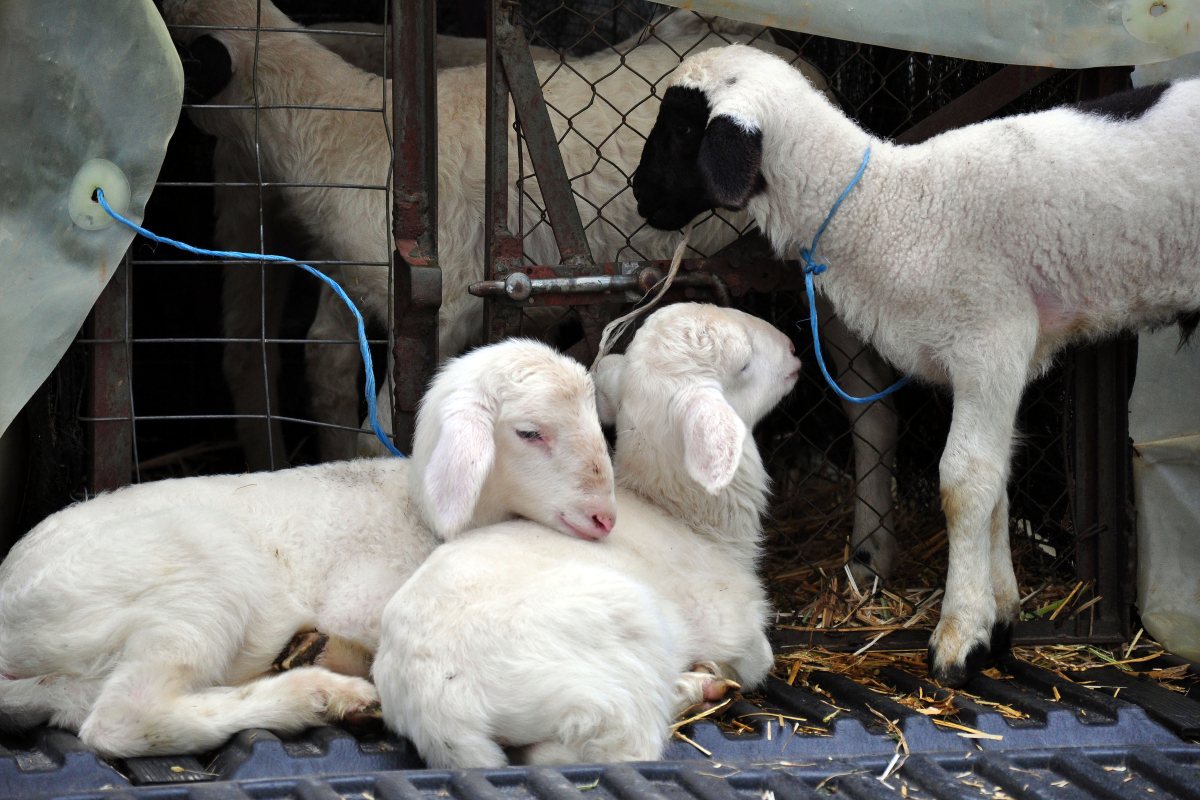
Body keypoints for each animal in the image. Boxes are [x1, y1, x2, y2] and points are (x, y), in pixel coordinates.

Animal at [0, 338, 619, 758]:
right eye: (530, 433)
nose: (604, 518)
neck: (414, 513)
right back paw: (318, 694)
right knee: (122, 720)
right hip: (199, 578)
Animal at [374, 303, 801, 767]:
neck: (690, 519)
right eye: (744, 365)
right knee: (612, 748)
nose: (794, 349)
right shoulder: (734, 625)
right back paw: (696, 687)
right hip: (612, 672)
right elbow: (762, 659)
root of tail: (439, 709)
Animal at [628, 42, 1200, 690]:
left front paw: (961, 636)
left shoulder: (990, 339)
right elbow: (997, 483)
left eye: (682, 127)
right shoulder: (1001, 356)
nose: (638, 192)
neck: (892, 209)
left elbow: (965, 481)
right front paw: (1001, 616)